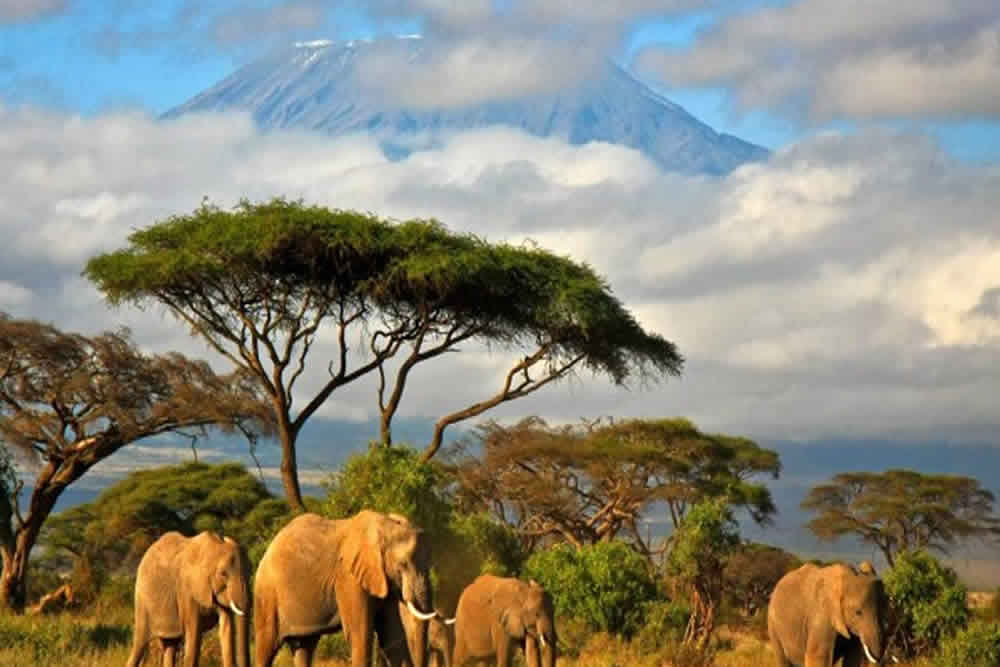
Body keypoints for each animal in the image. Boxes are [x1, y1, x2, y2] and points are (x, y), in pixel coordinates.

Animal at [125, 532, 250, 667]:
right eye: (223, 574)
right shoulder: (186, 590)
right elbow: (194, 632)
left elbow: (226, 628)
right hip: (142, 602)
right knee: (140, 644)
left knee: (170, 645)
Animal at [250, 512, 438, 667]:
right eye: (403, 564)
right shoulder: (349, 578)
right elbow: (359, 634)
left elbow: (391, 634)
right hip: (266, 594)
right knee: (266, 646)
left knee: (304, 647)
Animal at [764, 560, 892, 664]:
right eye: (858, 612)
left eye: (884, 610)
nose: (879, 658)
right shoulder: (821, 616)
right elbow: (819, 658)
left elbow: (853, 659)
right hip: (773, 625)